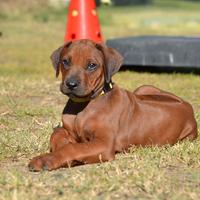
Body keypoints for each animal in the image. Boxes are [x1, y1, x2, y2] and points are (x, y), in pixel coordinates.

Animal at [27, 39, 197, 172]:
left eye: (92, 65)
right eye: (65, 61)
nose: (71, 84)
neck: (83, 106)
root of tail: (188, 107)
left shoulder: (104, 144)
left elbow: (73, 147)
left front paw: (47, 159)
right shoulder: (69, 130)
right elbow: (57, 133)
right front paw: (60, 147)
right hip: (143, 88)